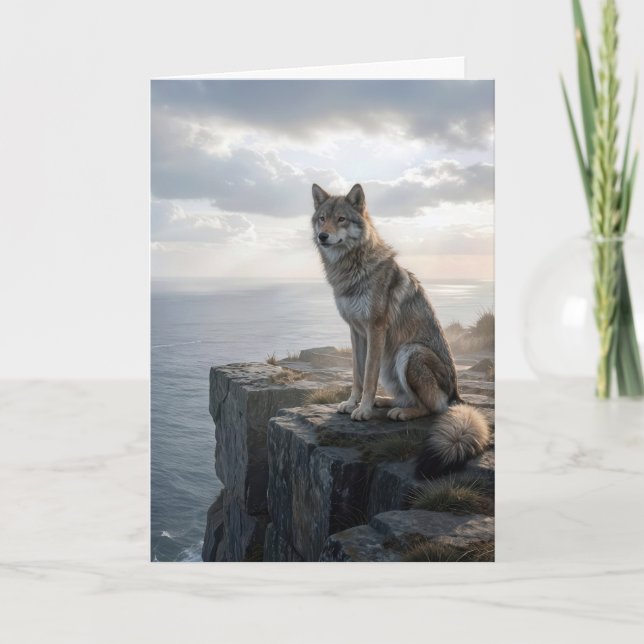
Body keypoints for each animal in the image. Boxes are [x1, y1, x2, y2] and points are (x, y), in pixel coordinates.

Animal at [311, 183, 490, 477]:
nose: (322, 236)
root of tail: (457, 396)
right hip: (391, 363)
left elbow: (368, 378)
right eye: (322, 218)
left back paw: (399, 412)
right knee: (407, 398)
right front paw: (352, 403)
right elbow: (357, 375)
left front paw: (363, 410)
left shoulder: (375, 329)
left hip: (409, 351)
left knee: (432, 408)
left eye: (342, 219)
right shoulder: (356, 332)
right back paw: (385, 403)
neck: (352, 268)